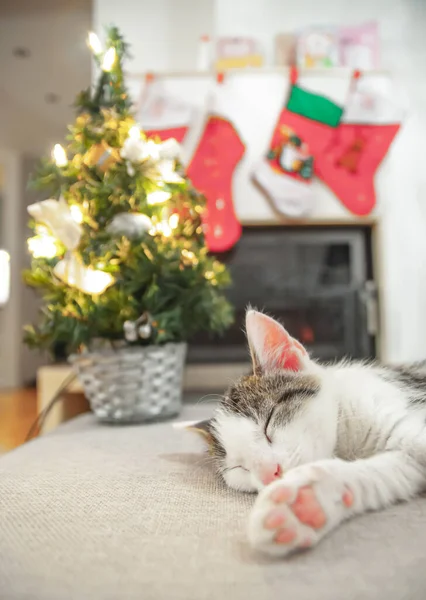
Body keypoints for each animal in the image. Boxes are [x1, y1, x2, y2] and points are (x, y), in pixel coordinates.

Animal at [190, 310, 426, 556]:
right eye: (238, 467)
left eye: (268, 424)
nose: (270, 473)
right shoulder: (408, 463)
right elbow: (388, 474)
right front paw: (305, 503)